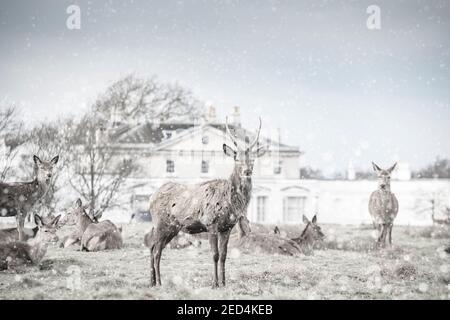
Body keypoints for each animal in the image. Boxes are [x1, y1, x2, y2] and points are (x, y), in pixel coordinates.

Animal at [146, 117, 266, 288]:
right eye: (236, 158)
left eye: (253, 159)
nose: (247, 171)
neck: (232, 202)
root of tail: (151, 197)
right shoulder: (211, 223)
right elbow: (215, 254)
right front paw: (215, 283)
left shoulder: (227, 227)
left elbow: (224, 255)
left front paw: (224, 283)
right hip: (161, 223)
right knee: (156, 251)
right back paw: (160, 282)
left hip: (172, 227)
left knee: (152, 247)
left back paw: (152, 281)